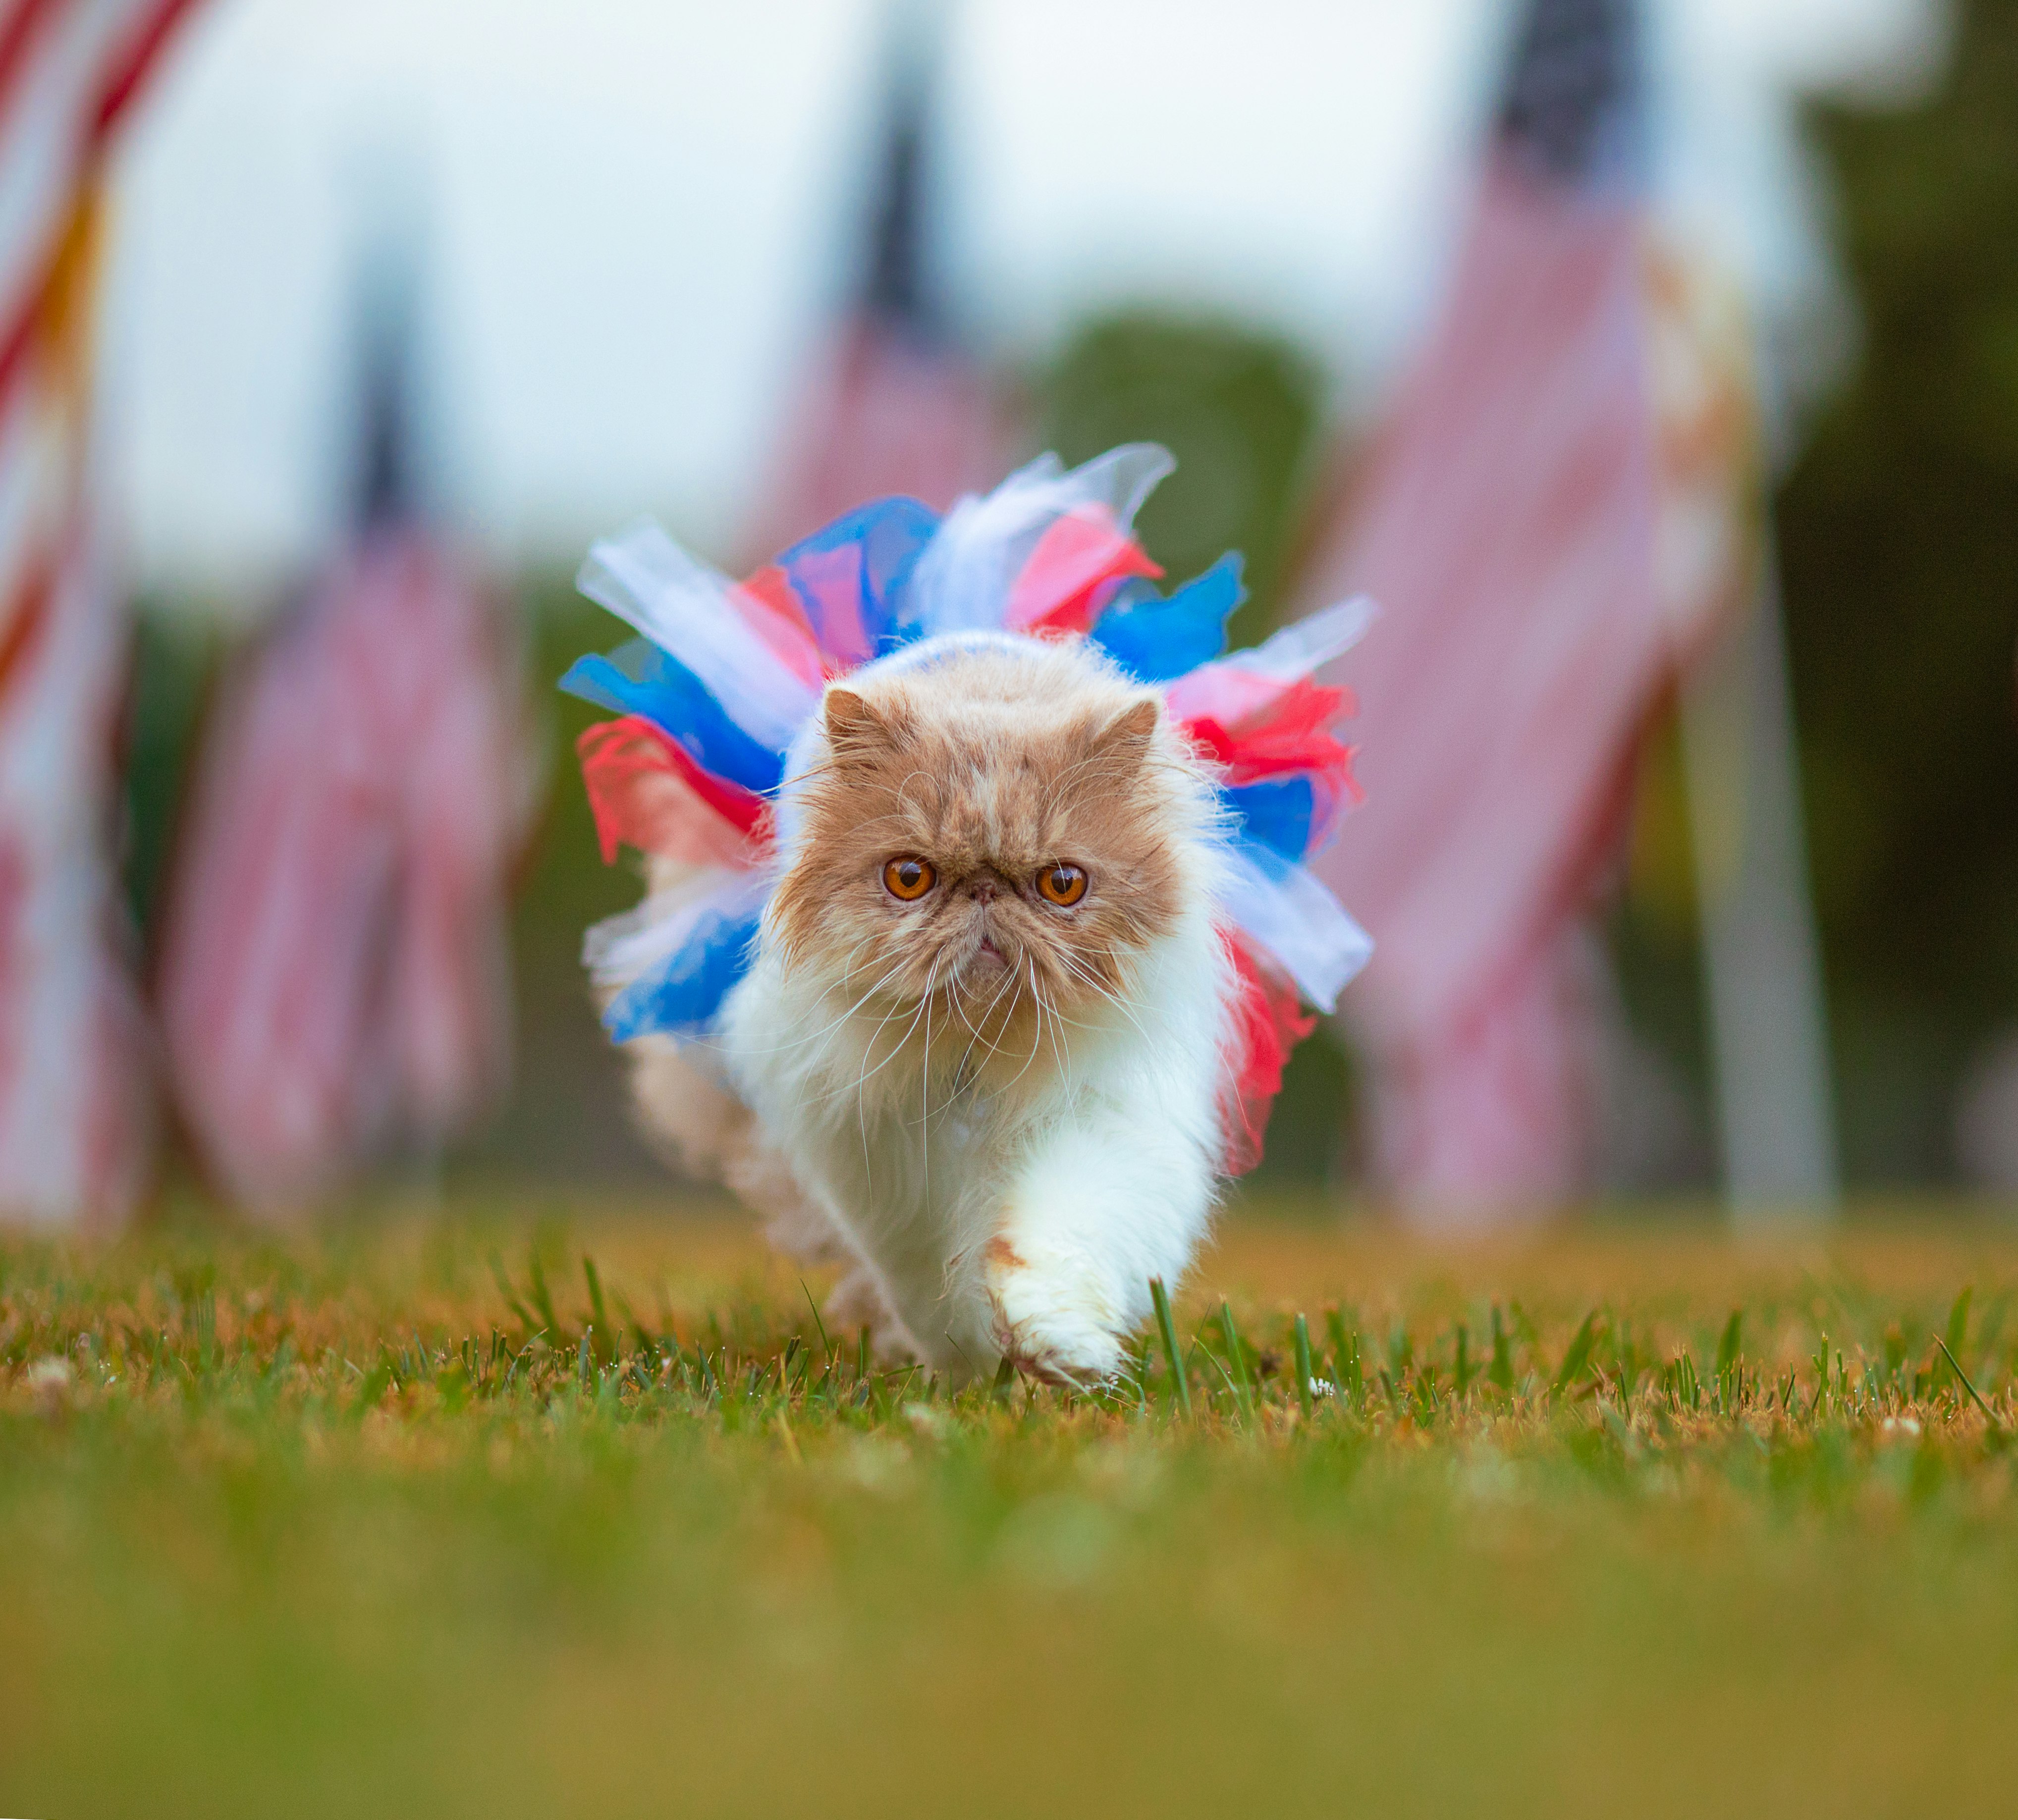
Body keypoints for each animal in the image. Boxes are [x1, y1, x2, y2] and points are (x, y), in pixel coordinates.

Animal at [629, 633, 1227, 1388]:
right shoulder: (879, 1156)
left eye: (1062, 883)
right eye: (909, 877)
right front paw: (971, 1364)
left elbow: (1054, 1232)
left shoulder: (1104, 1119)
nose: (984, 891)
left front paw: (1056, 1346)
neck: (975, 1048)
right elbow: (926, 1279)